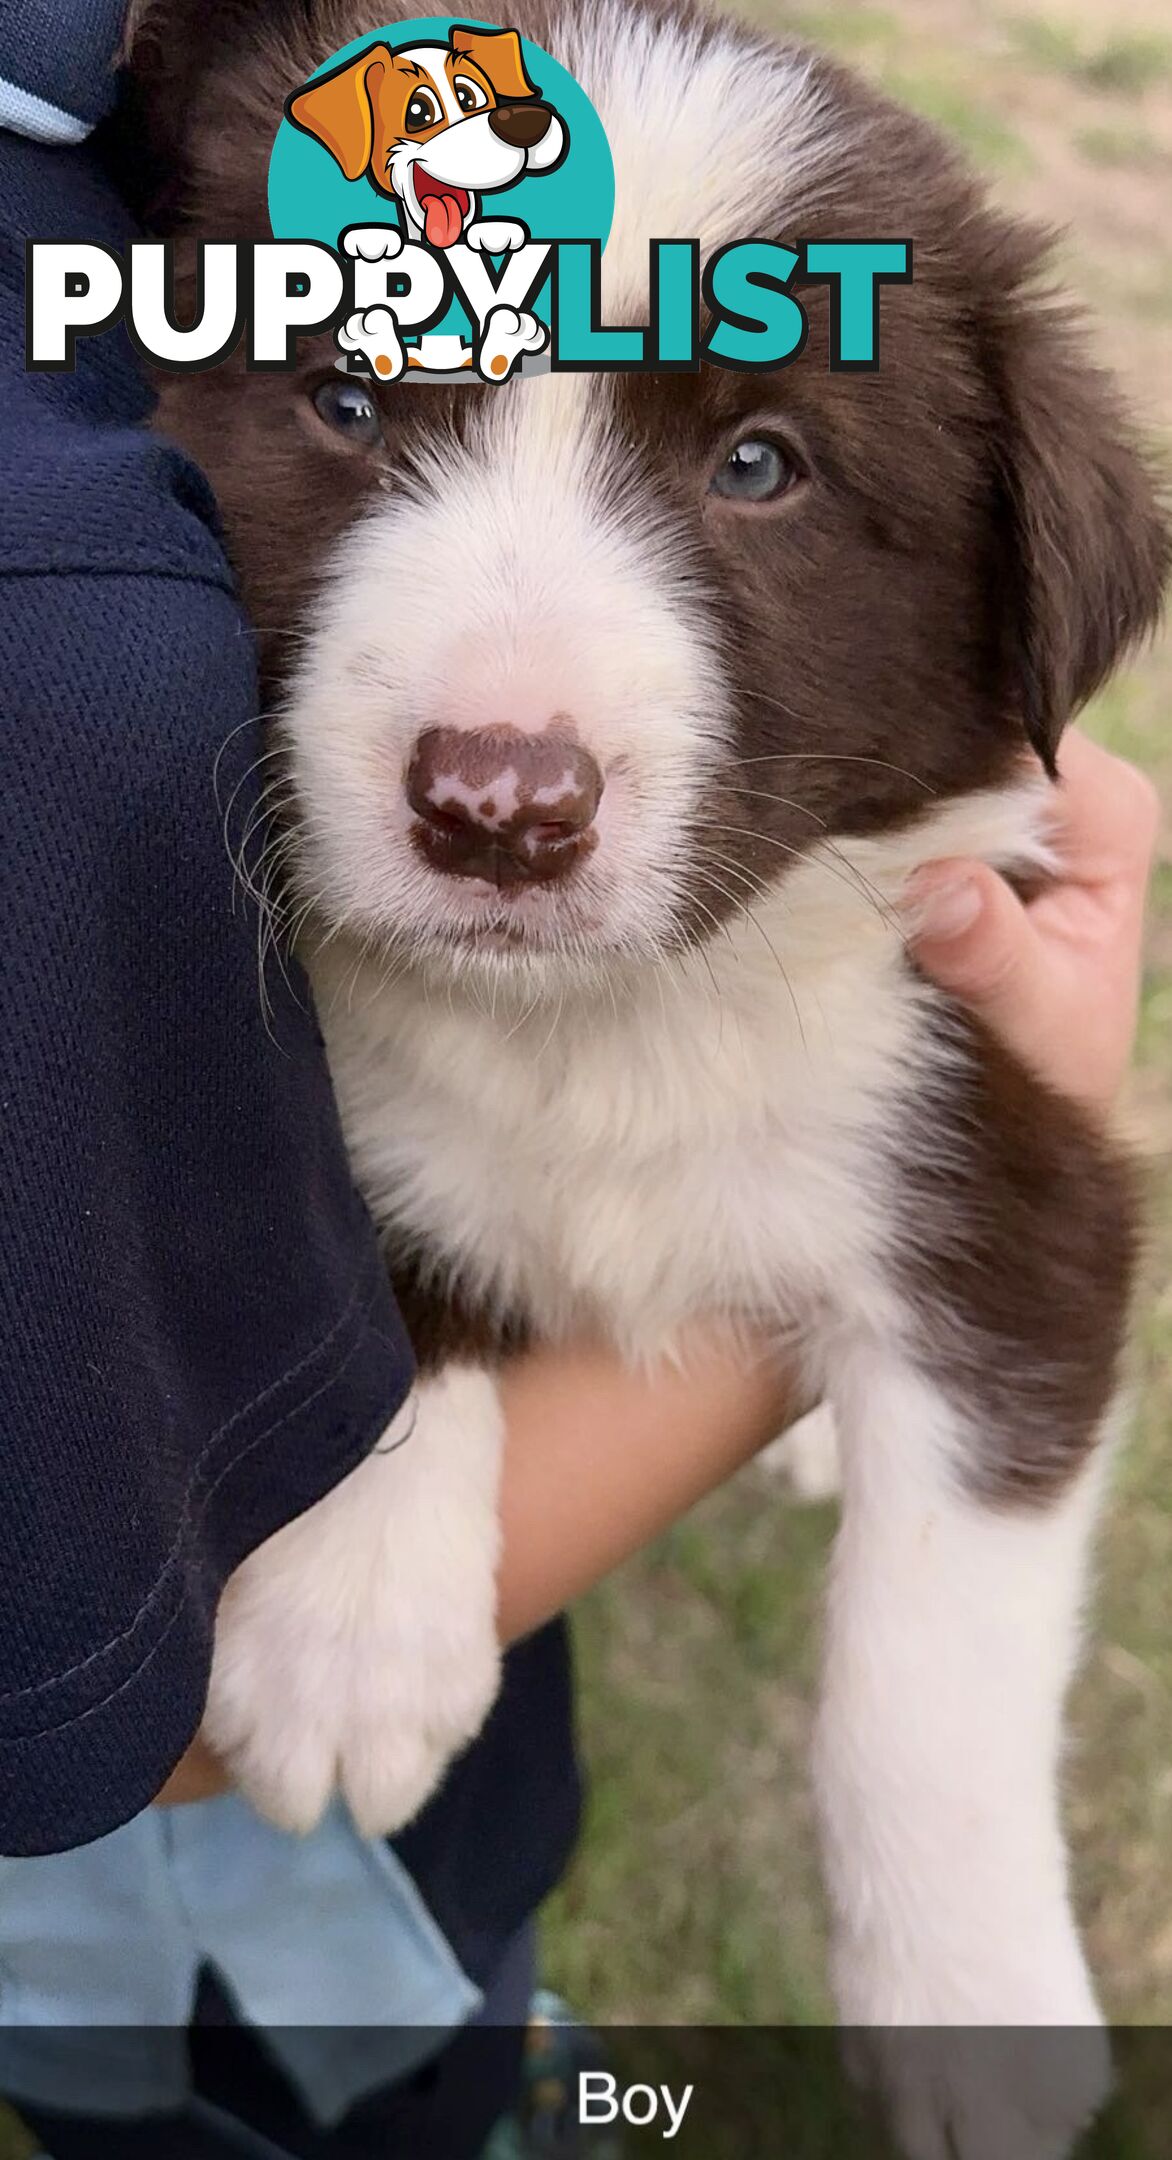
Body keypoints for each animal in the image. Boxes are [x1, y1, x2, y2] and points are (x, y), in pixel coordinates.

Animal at [132, 4, 1165, 2142]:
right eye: (341, 405)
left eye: (761, 467)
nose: (496, 809)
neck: (605, 1029)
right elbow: (347, 1257)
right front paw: (350, 1634)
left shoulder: (1005, 1172)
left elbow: (925, 1659)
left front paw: (971, 2009)